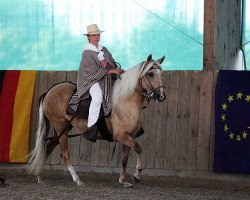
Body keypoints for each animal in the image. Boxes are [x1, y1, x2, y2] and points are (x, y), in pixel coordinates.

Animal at [27, 54, 165, 188]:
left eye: (161, 74)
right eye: (150, 73)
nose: (161, 96)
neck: (126, 100)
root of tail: (49, 91)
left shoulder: (129, 135)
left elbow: (125, 158)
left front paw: (123, 180)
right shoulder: (120, 135)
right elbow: (138, 148)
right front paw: (136, 175)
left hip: (62, 129)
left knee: (48, 148)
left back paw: (40, 176)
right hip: (60, 127)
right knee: (65, 154)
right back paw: (77, 180)